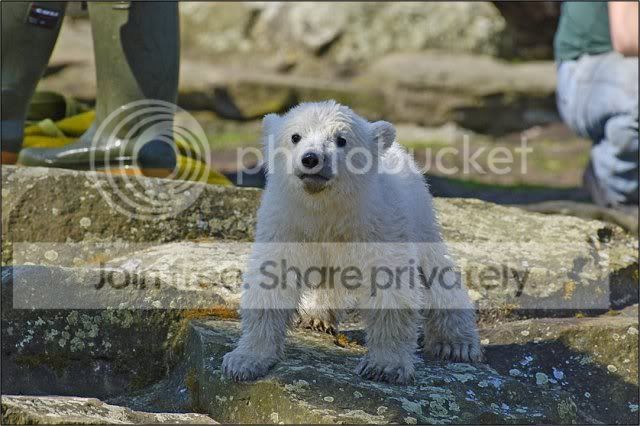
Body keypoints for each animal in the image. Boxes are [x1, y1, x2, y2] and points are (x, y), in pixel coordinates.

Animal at [221, 100, 482, 385]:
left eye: (341, 139)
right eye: (295, 136)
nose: (311, 158)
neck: (328, 208)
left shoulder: (378, 226)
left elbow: (390, 286)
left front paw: (384, 366)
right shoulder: (288, 223)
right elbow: (272, 278)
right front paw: (244, 360)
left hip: (420, 218)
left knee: (437, 271)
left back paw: (456, 343)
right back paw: (317, 315)